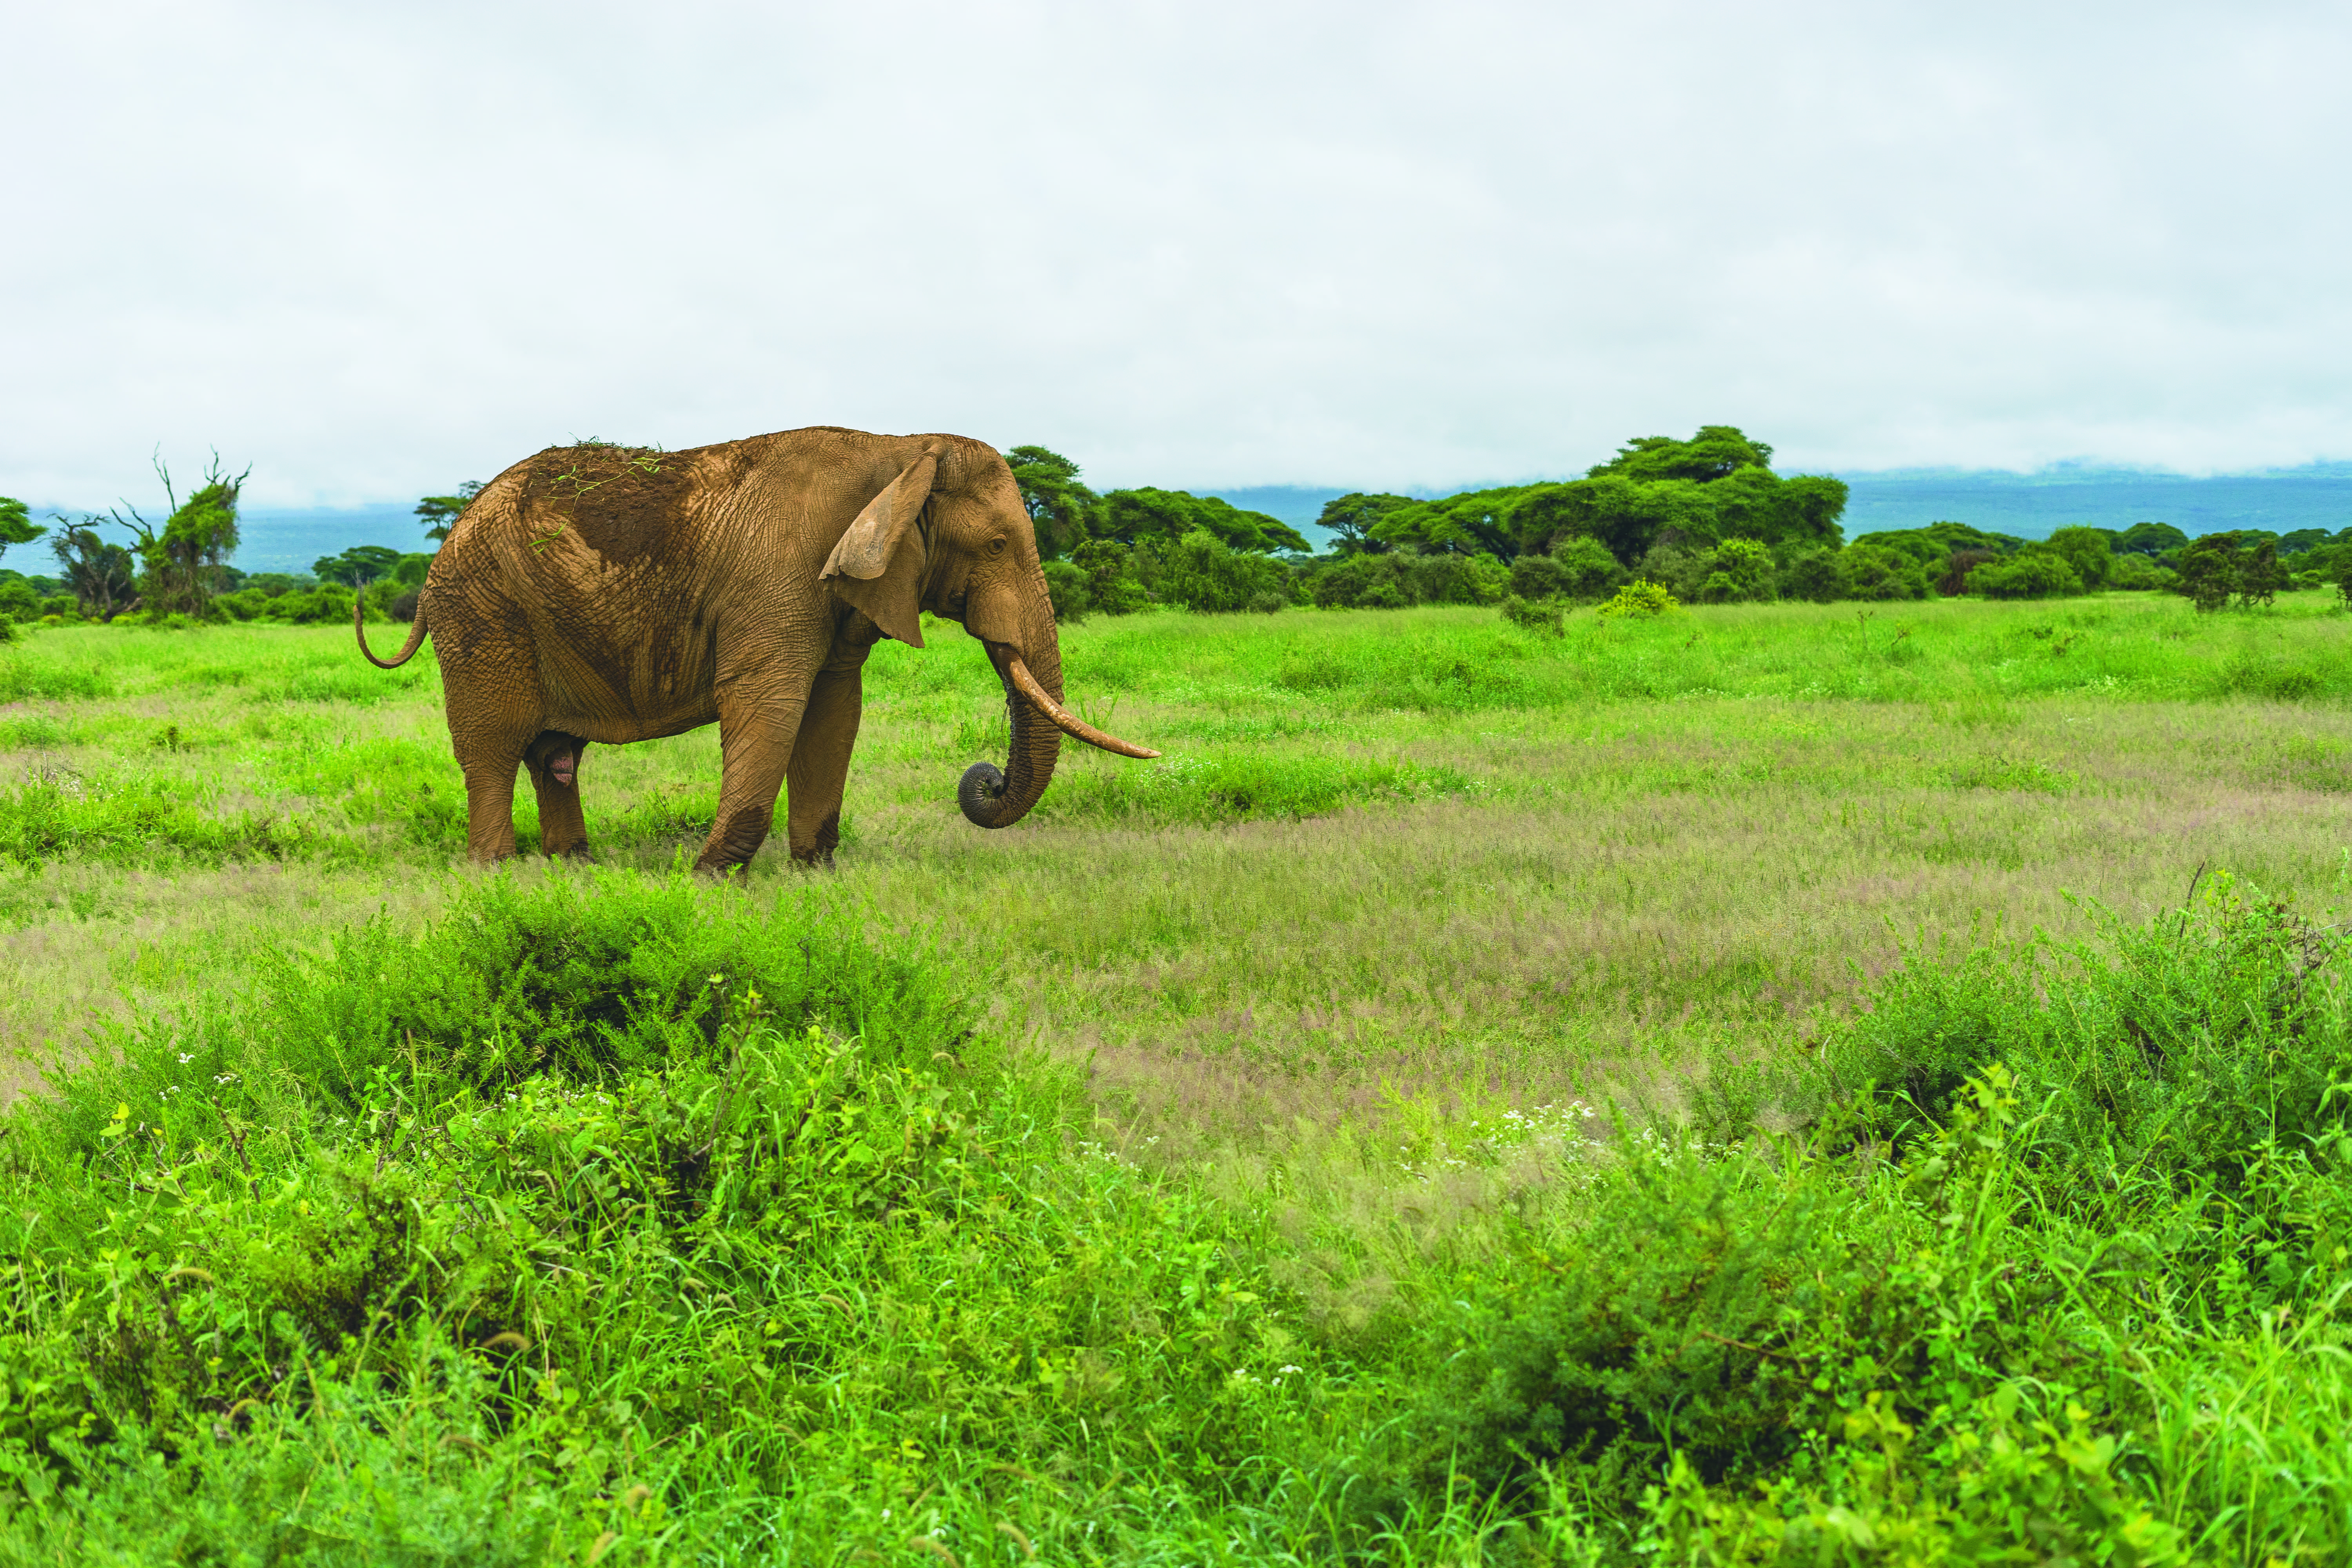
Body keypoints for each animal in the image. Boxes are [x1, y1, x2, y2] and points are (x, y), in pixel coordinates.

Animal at [354, 427, 1156, 873]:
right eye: (994, 545)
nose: (985, 781)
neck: (899, 452)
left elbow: (834, 712)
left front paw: (816, 872)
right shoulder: (774, 584)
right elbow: (769, 706)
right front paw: (709, 877)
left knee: (554, 754)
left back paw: (572, 866)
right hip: (483, 616)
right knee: (493, 748)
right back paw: (494, 872)